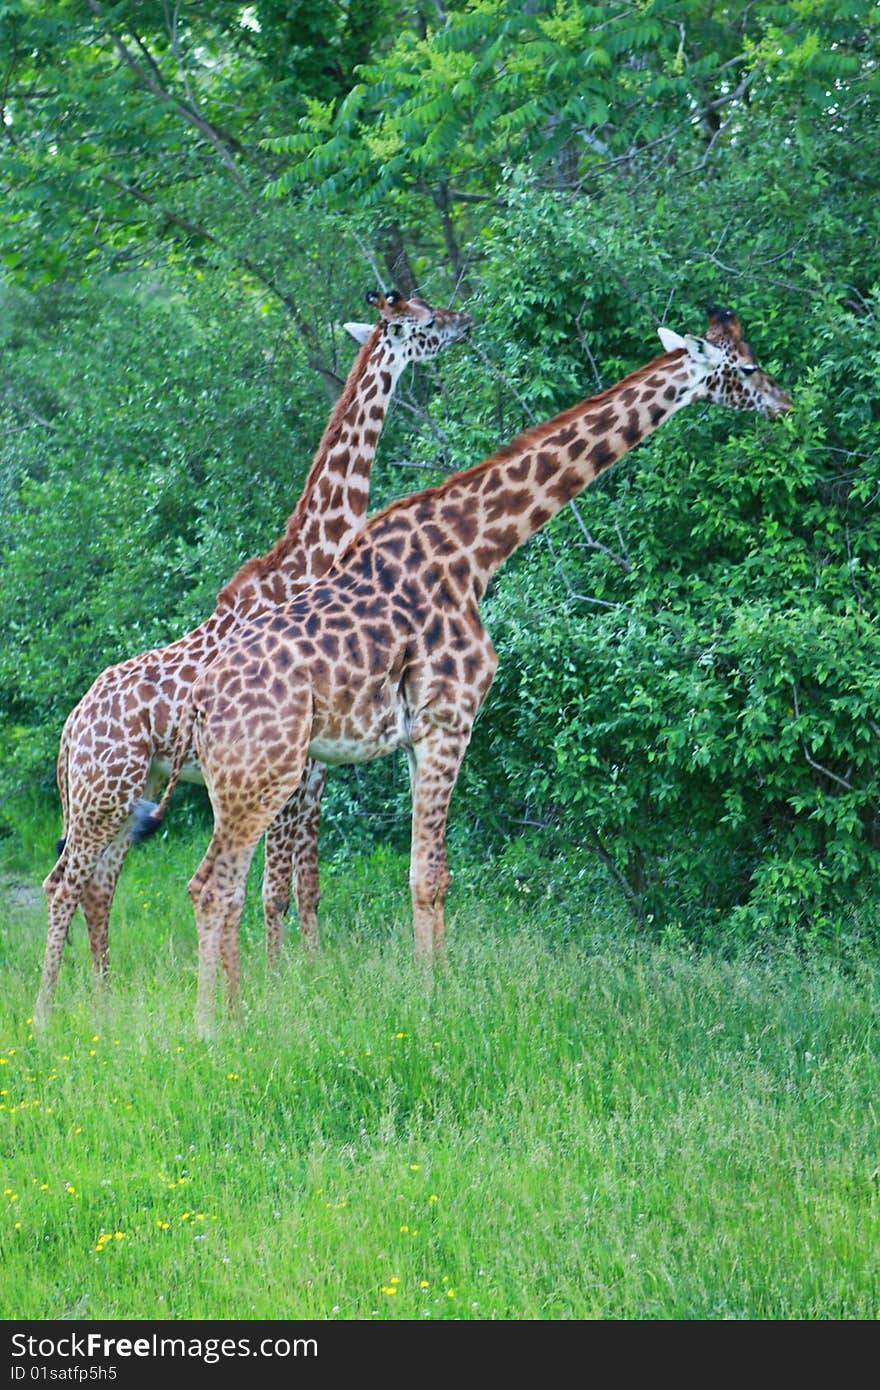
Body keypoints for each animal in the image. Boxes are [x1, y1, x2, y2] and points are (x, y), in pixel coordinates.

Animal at [34, 287, 472, 1023]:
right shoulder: (298, 763)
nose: (468, 320)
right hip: (104, 790)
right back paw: (44, 1012)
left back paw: (100, 1000)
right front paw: (276, 982)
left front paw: (301, 973)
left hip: (122, 794)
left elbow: (303, 879)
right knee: (63, 880)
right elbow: (273, 883)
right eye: (427, 320)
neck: (309, 560)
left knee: (98, 883)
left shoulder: (312, 763)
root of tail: (69, 731)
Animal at [135, 307, 789, 1045]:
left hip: (246, 782)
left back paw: (238, 1014)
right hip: (266, 774)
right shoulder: (452, 719)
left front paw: (434, 987)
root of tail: (198, 701)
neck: (477, 548)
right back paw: (212, 1029)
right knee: (211, 885)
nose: (785, 402)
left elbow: (426, 873)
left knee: (221, 885)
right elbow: (430, 875)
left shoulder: (415, 740)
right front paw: (432, 1002)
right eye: (745, 366)